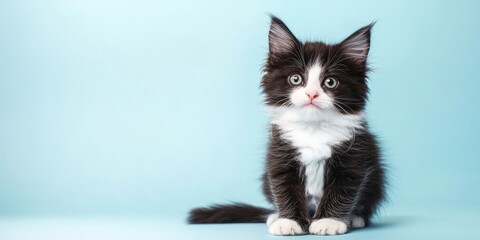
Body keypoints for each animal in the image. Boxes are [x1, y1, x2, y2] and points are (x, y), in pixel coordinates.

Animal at [188, 16, 386, 236]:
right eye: (296, 79)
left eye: (330, 82)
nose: (311, 94)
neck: (313, 129)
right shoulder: (280, 155)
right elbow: (284, 190)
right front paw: (289, 221)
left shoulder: (354, 158)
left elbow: (342, 192)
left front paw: (328, 221)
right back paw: (275, 216)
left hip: (377, 178)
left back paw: (356, 218)